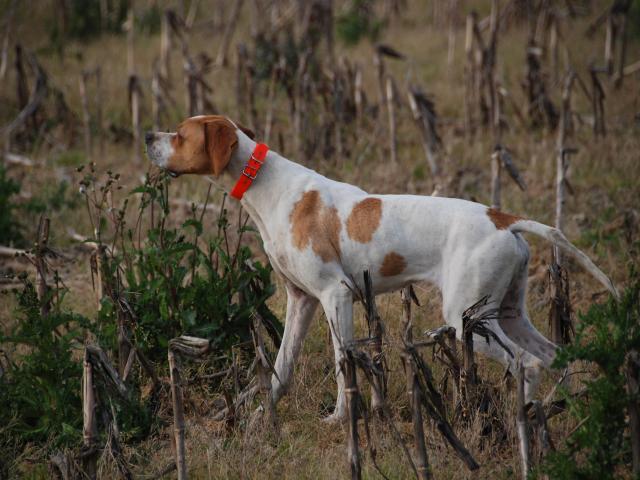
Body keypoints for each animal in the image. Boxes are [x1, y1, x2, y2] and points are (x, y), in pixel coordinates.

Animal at [144, 114, 616, 422]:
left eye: (181, 134)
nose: (148, 135)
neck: (267, 187)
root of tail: (502, 217)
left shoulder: (336, 296)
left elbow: (342, 365)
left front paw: (340, 419)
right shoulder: (301, 302)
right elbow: (281, 368)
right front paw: (261, 413)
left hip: (466, 319)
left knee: (528, 364)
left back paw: (529, 416)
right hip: (508, 313)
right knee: (554, 355)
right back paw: (557, 411)